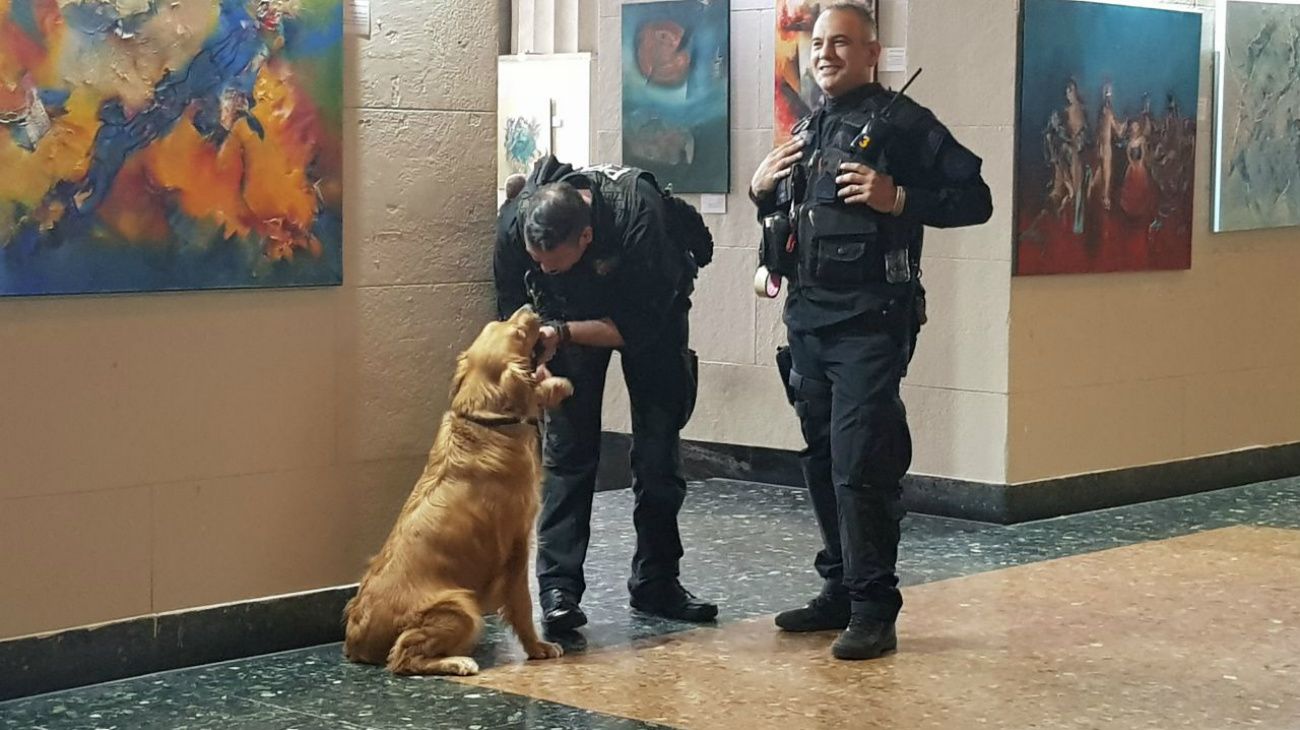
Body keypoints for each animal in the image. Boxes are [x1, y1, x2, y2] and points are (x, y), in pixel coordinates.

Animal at [343, 303, 572, 675]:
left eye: (498, 322)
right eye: (519, 333)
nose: (528, 306)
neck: (486, 420)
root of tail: (355, 639)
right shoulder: (518, 543)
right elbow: (522, 604)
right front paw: (537, 647)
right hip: (461, 607)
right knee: (402, 658)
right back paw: (458, 662)